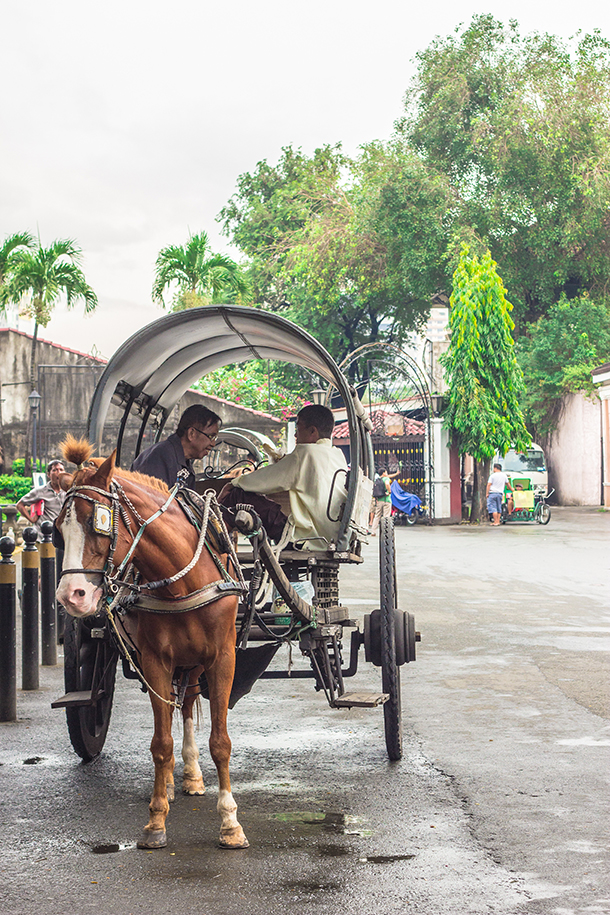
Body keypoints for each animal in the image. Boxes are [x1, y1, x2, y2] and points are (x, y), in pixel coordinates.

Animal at [55, 436, 247, 852]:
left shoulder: (222, 659)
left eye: (98, 522)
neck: (183, 581)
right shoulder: (155, 660)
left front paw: (229, 822)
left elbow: (220, 741)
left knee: (187, 703)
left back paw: (192, 775)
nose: (70, 596)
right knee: (175, 709)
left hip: (196, 662)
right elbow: (160, 743)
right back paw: (177, 778)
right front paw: (157, 818)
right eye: (58, 528)